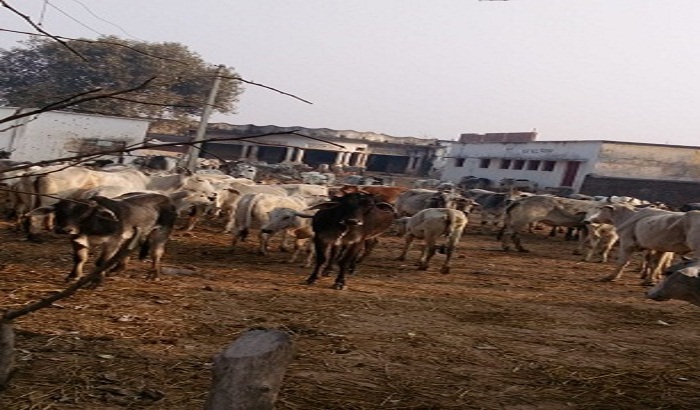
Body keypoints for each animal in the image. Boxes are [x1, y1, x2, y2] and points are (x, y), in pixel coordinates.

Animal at [29, 193, 178, 284]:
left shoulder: (113, 241)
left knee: (156, 253)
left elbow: (101, 262)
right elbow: (79, 258)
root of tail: (167, 199)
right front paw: (73, 276)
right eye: (59, 211)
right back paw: (118, 269)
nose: (64, 229)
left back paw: (154, 275)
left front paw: (97, 279)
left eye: (85, 213)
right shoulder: (76, 239)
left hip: (161, 232)